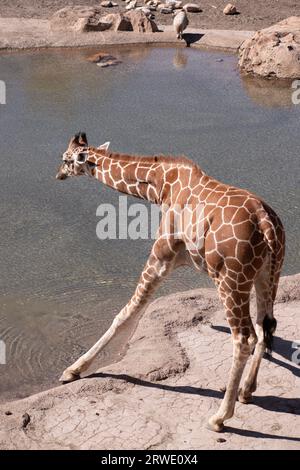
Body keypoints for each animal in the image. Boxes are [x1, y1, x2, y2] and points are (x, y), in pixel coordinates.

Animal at [56, 132, 286, 434]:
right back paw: (247, 391)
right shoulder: (179, 259)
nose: (58, 174)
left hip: (231, 279)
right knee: (265, 325)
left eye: (66, 159)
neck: (160, 188)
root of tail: (267, 225)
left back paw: (220, 417)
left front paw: (74, 369)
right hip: (269, 273)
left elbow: (126, 314)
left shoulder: (162, 255)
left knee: (244, 337)